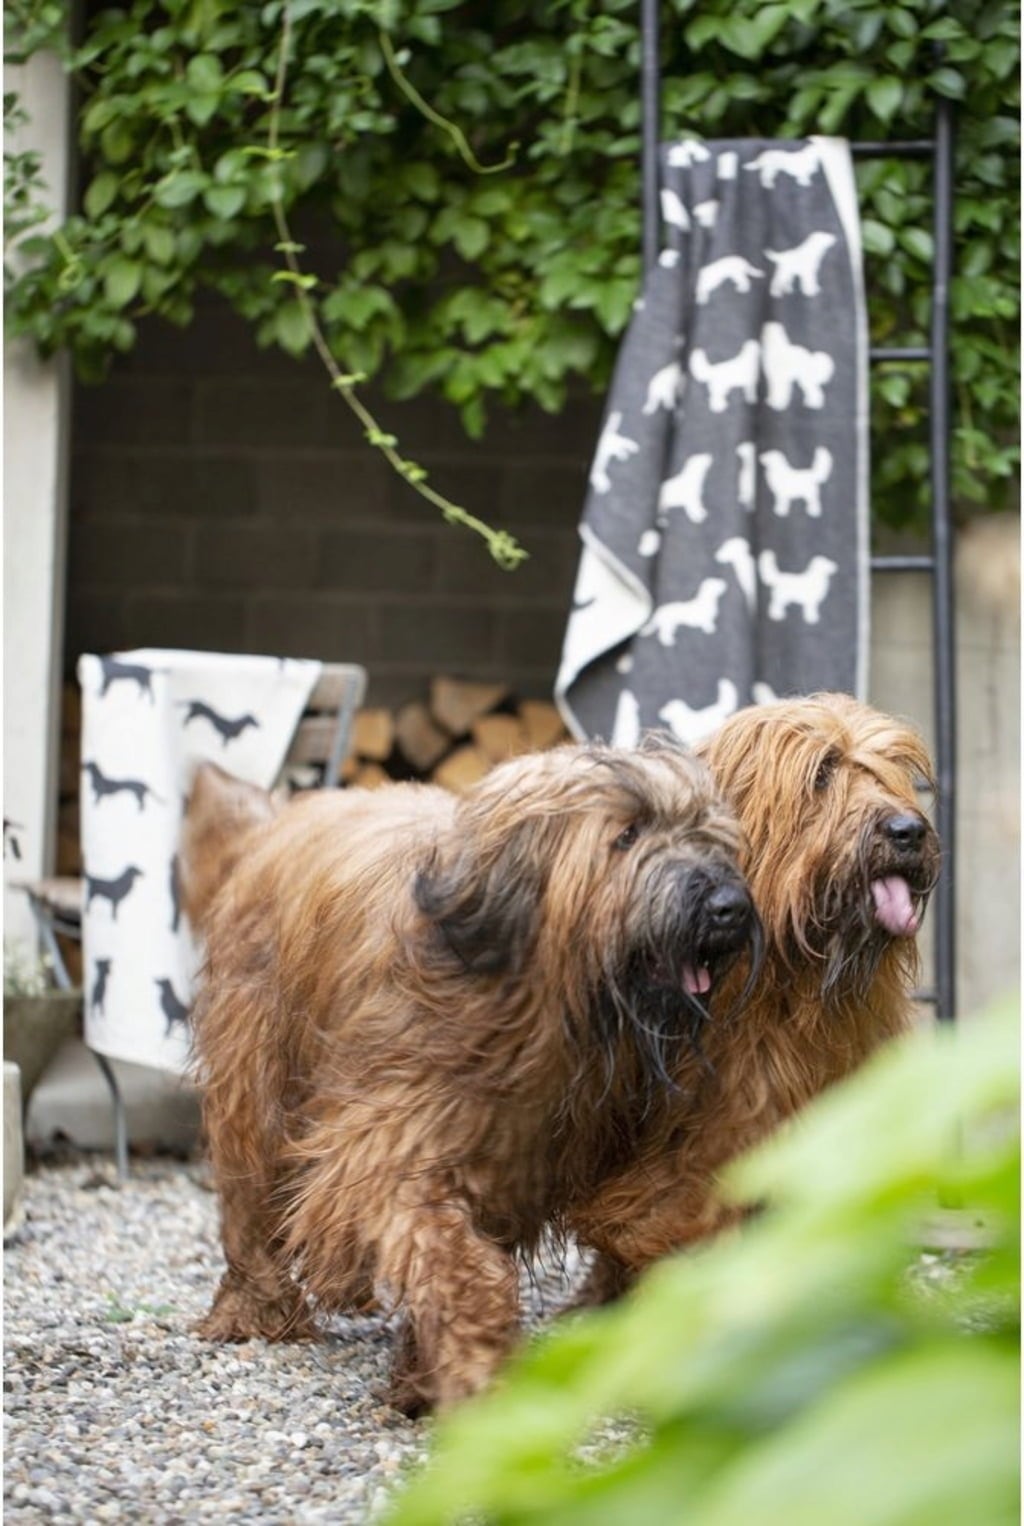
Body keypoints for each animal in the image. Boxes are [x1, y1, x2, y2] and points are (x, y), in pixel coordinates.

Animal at [183, 742, 757, 1413]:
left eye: (709, 838)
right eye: (628, 835)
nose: (729, 908)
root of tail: (275, 827)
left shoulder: (511, 1161)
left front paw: (420, 1377)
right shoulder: (394, 1138)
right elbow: (452, 1260)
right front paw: (473, 1366)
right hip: (256, 1064)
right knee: (249, 1195)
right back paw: (258, 1310)